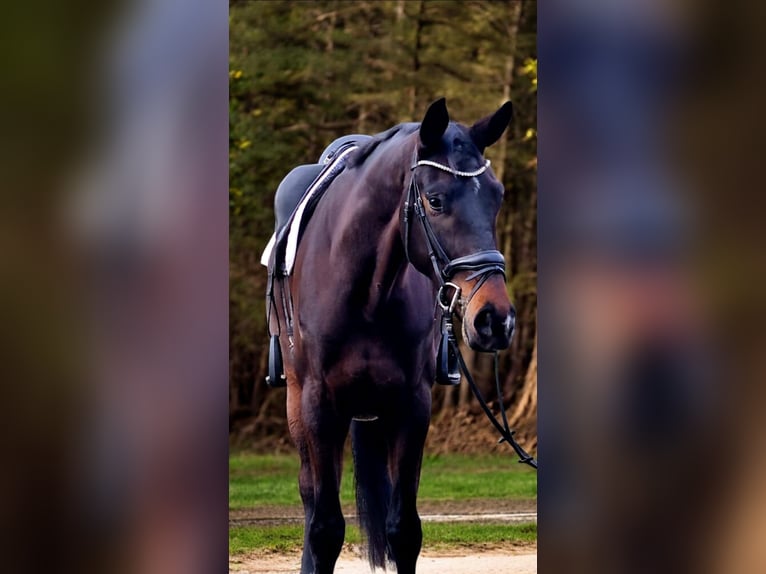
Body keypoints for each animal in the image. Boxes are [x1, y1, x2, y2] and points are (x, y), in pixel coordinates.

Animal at [268, 97, 516, 572]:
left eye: (497, 197)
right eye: (435, 201)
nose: (496, 319)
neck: (366, 292)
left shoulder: (411, 406)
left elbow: (404, 530)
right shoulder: (318, 405)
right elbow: (325, 528)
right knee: (310, 497)